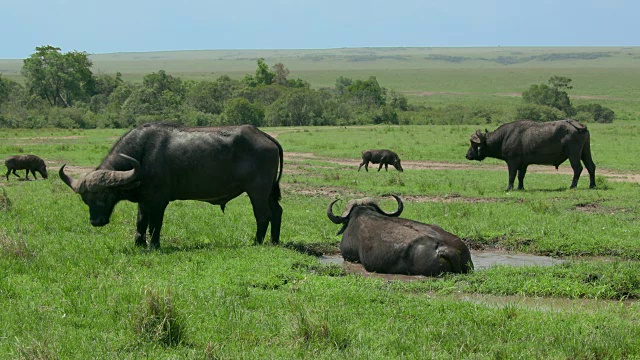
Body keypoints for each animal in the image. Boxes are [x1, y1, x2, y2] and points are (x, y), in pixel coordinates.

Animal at [59, 122, 282, 249]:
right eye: (86, 200)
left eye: (105, 196)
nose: (96, 221)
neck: (142, 155)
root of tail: (265, 136)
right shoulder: (144, 200)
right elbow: (141, 221)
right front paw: (138, 243)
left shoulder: (159, 201)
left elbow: (155, 224)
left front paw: (153, 245)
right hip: (269, 191)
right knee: (277, 212)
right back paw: (274, 241)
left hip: (257, 191)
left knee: (263, 215)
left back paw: (256, 242)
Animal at [464, 119, 596, 191]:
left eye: (473, 144)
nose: (467, 155)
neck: (504, 137)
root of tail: (579, 125)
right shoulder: (523, 164)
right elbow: (520, 176)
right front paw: (520, 188)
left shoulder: (512, 162)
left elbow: (511, 176)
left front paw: (509, 188)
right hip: (585, 151)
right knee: (591, 166)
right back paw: (592, 185)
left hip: (573, 154)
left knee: (577, 168)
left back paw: (572, 186)